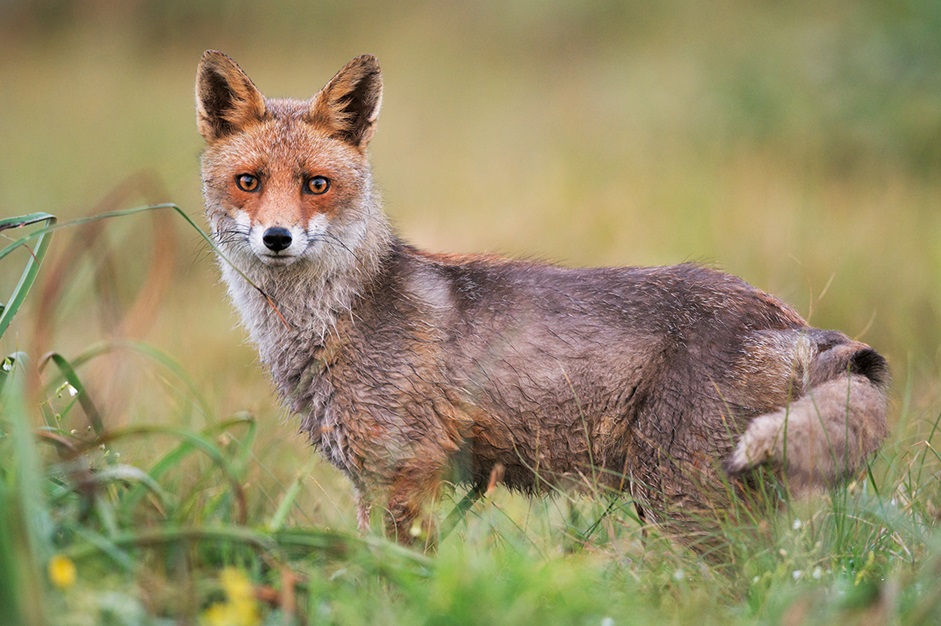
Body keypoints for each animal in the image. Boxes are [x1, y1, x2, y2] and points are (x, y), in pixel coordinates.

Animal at [195, 50, 889, 545]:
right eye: (248, 182)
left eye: (316, 184)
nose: (277, 238)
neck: (334, 321)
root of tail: (789, 320)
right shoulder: (379, 480)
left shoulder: (402, 474)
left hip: (678, 500)